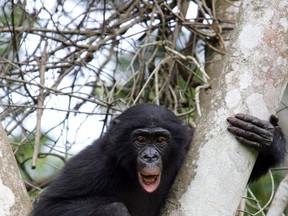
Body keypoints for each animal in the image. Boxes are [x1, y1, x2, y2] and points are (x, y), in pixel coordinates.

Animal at [31, 104, 286, 215]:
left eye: (161, 140)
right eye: (140, 139)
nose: (150, 155)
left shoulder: (187, 148)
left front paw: (266, 136)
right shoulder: (92, 164)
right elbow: (51, 205)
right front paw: (114, 210)